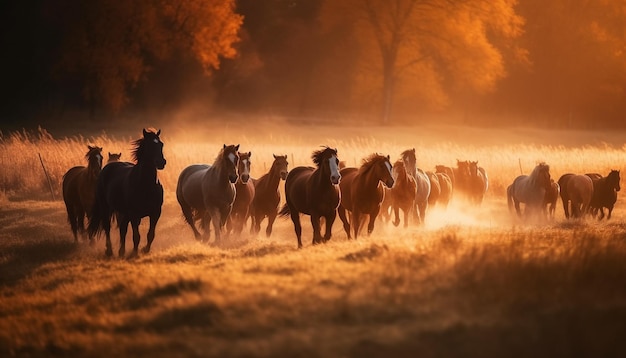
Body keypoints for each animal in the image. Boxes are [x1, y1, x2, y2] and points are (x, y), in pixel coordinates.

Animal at [88, 129, 166, 258]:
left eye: (161, 144)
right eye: (149, 145)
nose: (161, 162)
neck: (145, 184)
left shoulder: (155, 213)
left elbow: (150, 234)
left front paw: (145, 249)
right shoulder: (134, 214)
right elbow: (136, 236)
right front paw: (134, 253)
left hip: (123, 212)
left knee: (123, 229)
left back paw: (121, 251)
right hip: (106, 208)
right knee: (107, 227)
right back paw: (110, 251)